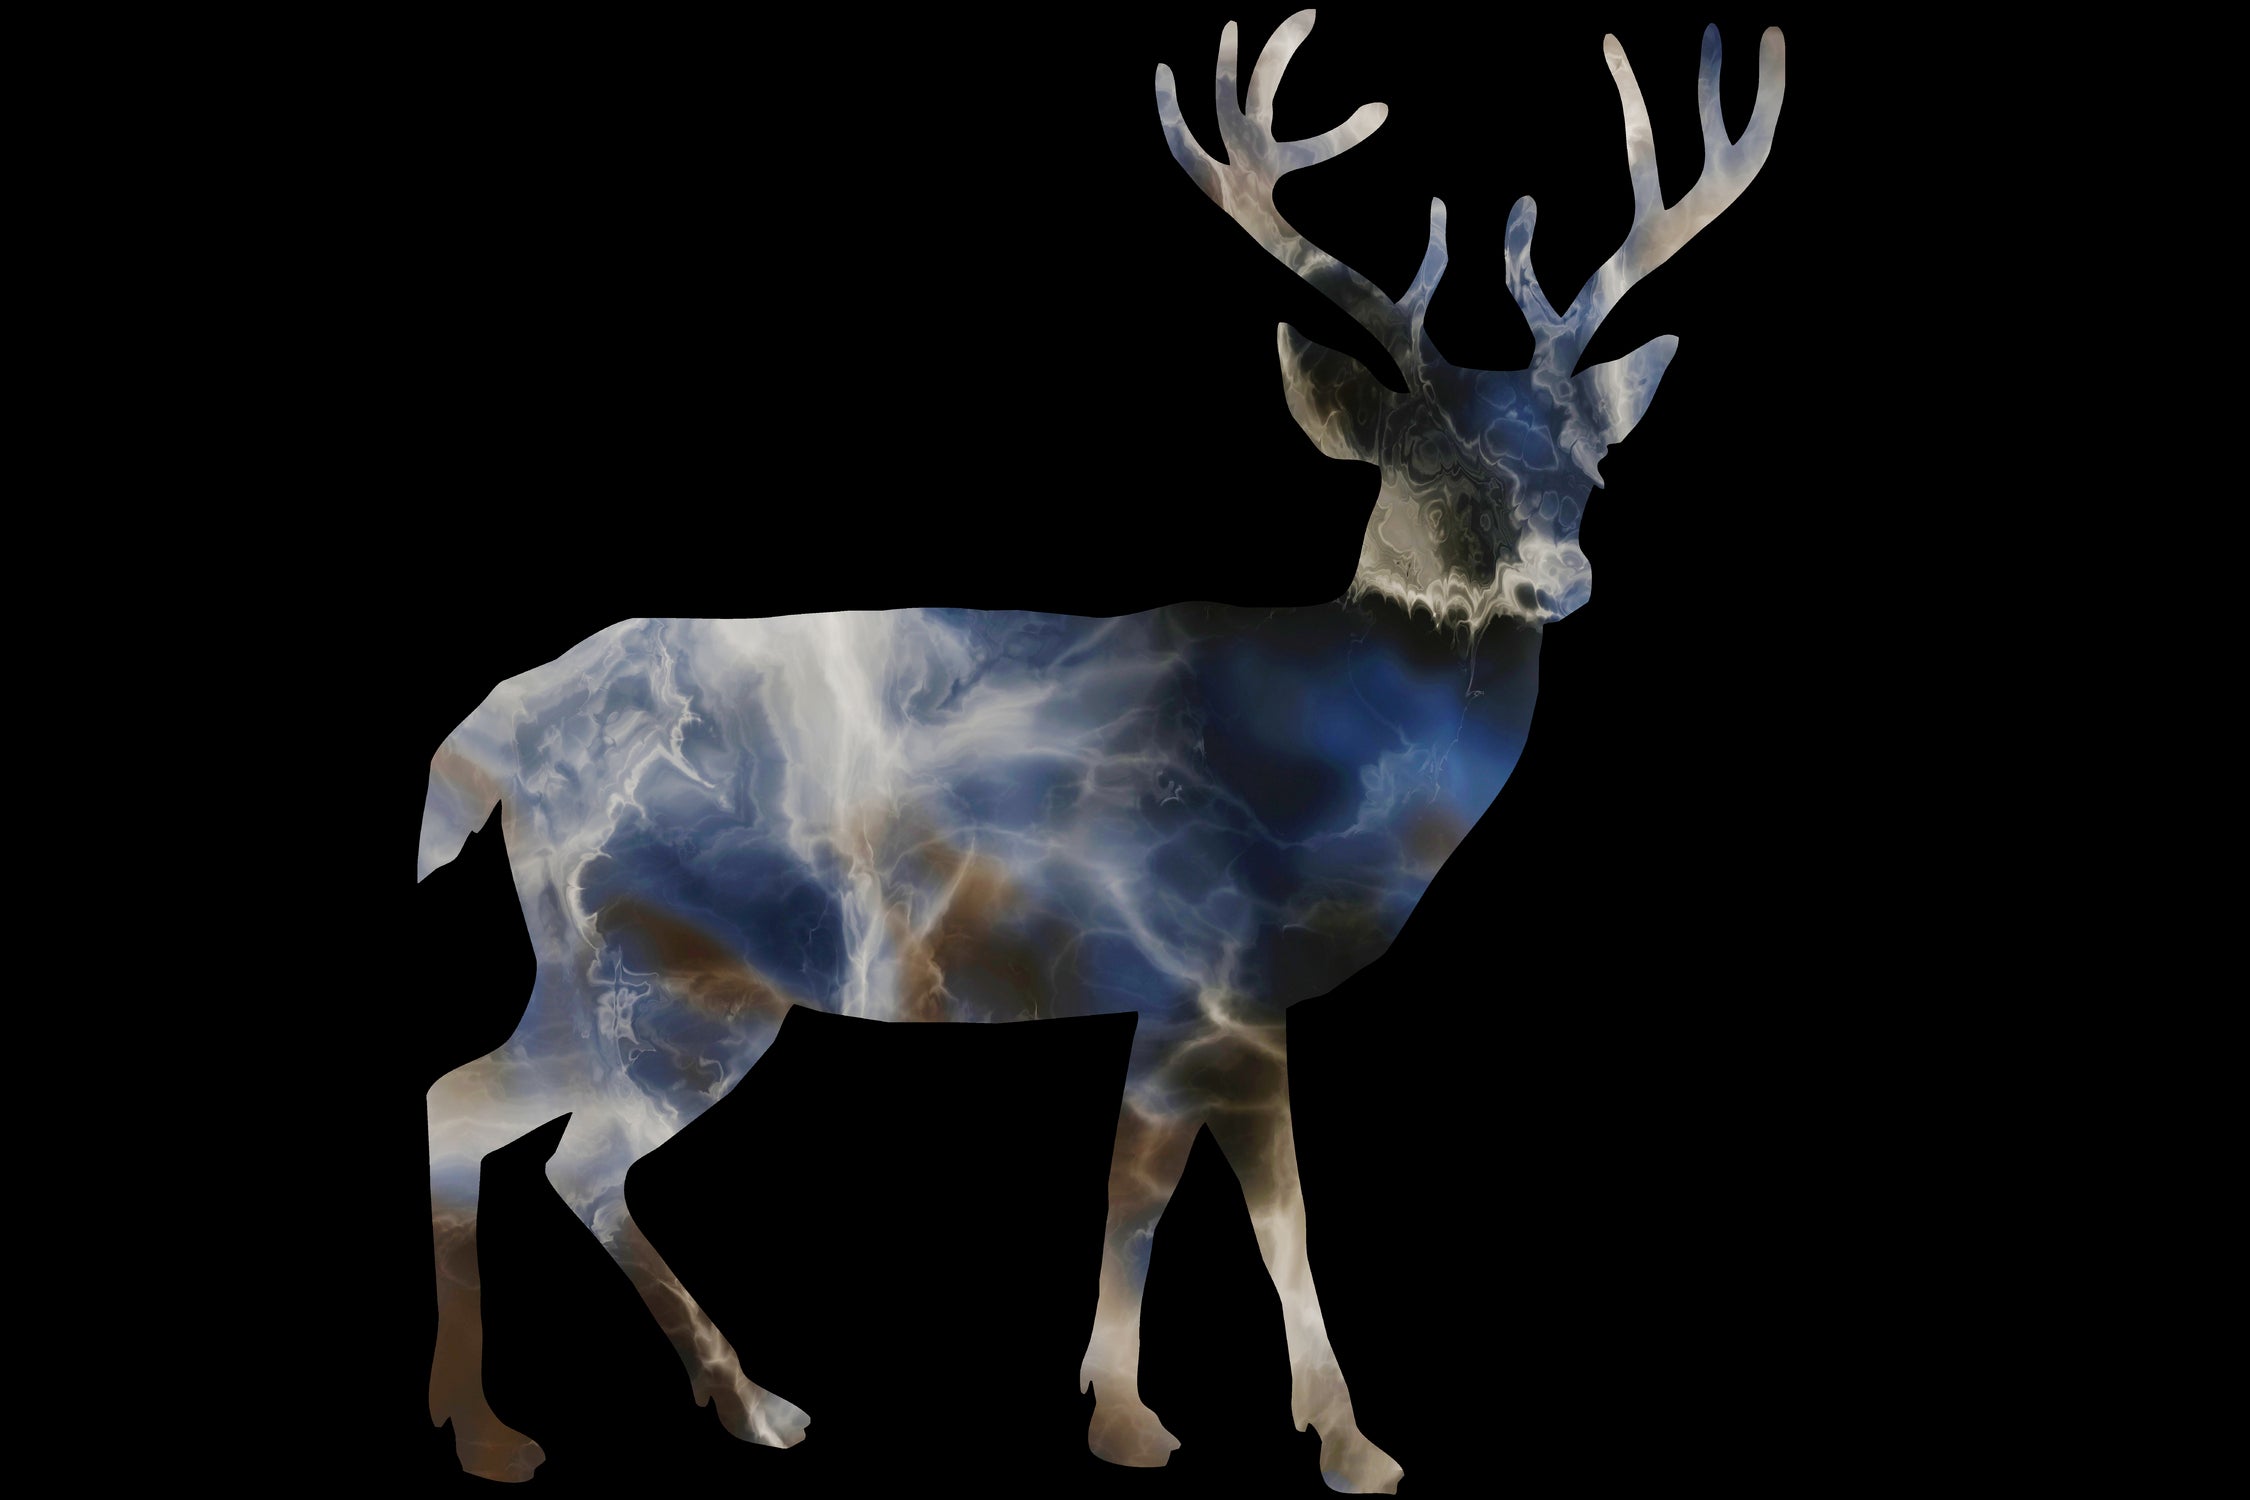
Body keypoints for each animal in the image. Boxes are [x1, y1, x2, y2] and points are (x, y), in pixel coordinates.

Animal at [417, 12, 1784, 1492]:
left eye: (1593, 469)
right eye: (1426, 466)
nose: (1561, 578)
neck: (1328, 765)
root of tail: (490, 735)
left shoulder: (1177, 991)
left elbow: (1148, 1190)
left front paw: (1146, 1413)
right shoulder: (1218, 966)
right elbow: (1249, 1209)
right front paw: (1318, 1437)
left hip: (593, 966)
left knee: (483, 1111)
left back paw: (643, 1407)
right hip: (669, 970)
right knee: (552, 1144)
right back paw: (601, 1419)